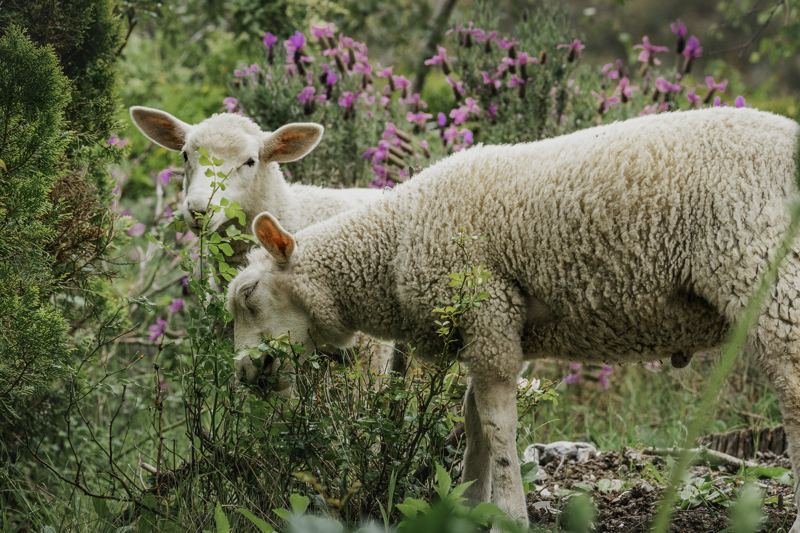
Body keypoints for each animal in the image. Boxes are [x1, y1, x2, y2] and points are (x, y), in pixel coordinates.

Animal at [227, 107, 800, 529]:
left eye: (249, 295)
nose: (245, 372)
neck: (393, 247)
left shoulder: (488, 311)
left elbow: (498, 422)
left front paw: (509, 513)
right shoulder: (493, 328)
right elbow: (474, 417)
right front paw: (466, 504)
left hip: (771, 279)